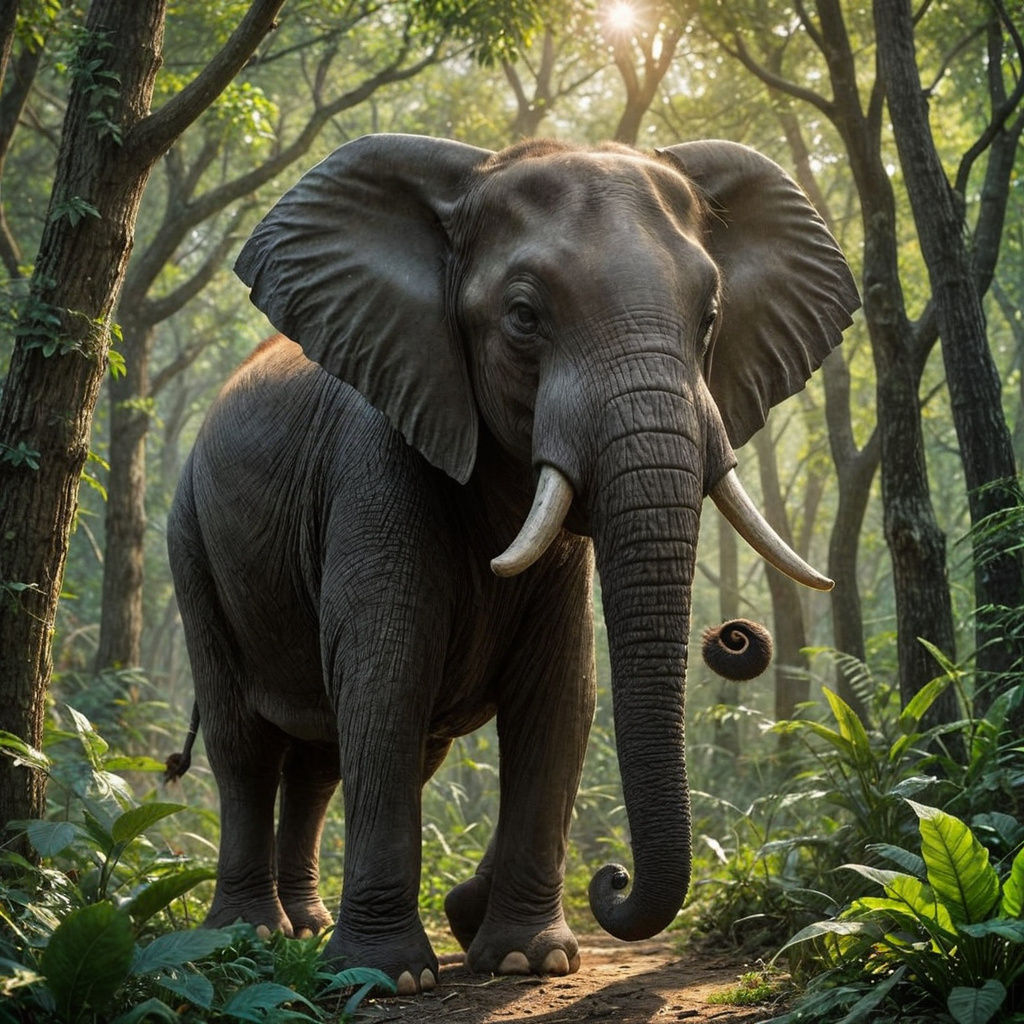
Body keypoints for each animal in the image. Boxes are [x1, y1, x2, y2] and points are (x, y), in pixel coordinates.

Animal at [166, 133, 859, 995]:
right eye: (524, 317)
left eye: (710, 318)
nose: (613, 879)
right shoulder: (372, 463)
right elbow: (386, 677)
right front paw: (385, 979)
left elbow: (560, 693)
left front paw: (526, 957)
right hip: (191, 540)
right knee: (244, 743)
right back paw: (251, 935)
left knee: (326, 760)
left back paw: (308, 925)